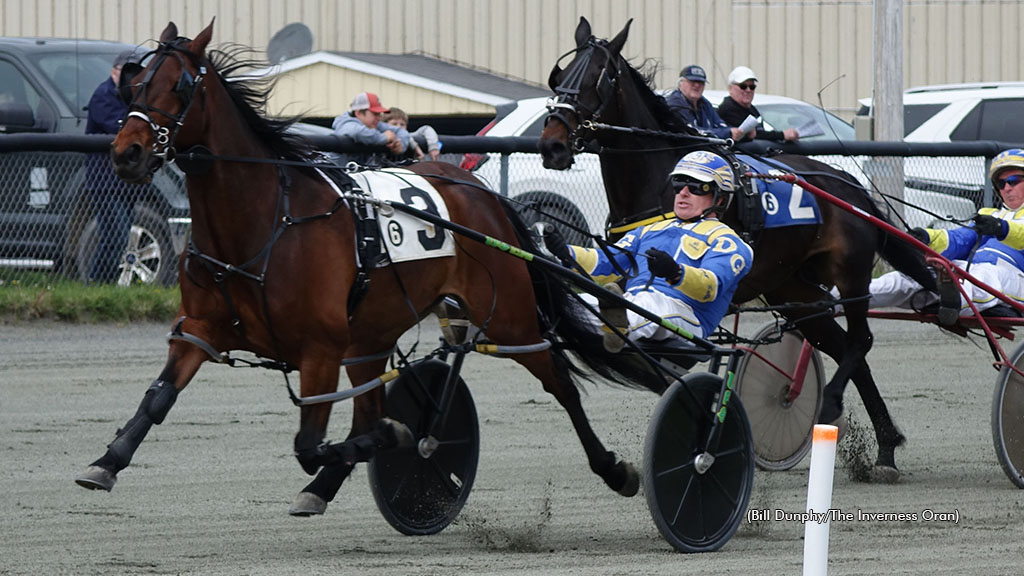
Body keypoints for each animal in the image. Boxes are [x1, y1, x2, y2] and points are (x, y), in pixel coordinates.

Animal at [75, 20, 659, 516]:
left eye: (178, 85)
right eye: (134, 83)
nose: (127, 152)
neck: (265, 222)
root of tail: (479, 190)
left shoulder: (319, 349)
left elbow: (312, 443)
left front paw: (394, 437)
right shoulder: (200, 329)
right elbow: (158, 399)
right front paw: (106, 461)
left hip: (508, 316)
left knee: (558, 378)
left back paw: (614, 469)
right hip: (372, 335)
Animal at [540, 17, 937, 477]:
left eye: (598, 77)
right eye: (560, 77)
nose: (551, 144)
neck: (664, 180)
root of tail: (848, 184)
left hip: (850, 273)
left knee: (859, 342)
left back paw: (843, 415)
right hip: (791, 289)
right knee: (840, 345)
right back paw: (885, 445)